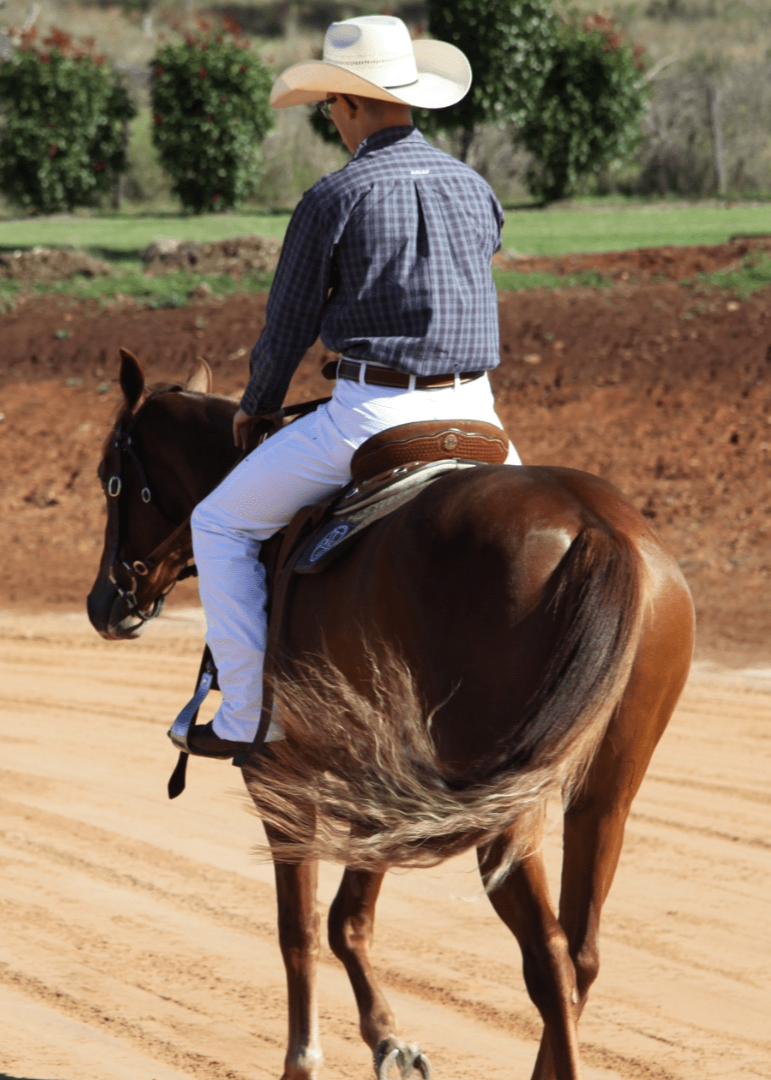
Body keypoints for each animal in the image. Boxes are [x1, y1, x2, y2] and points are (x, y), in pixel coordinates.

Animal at [87, 348, 695, 1080]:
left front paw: (305, 1059)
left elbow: (298, 928)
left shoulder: (280, 780)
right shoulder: (382, 788)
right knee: (580, 953)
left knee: (547, 955)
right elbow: (347, 920)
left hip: (506, 804)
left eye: (110, 479)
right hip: (603, 797)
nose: (102, 603)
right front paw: (389, 1042)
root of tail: (597, 528)